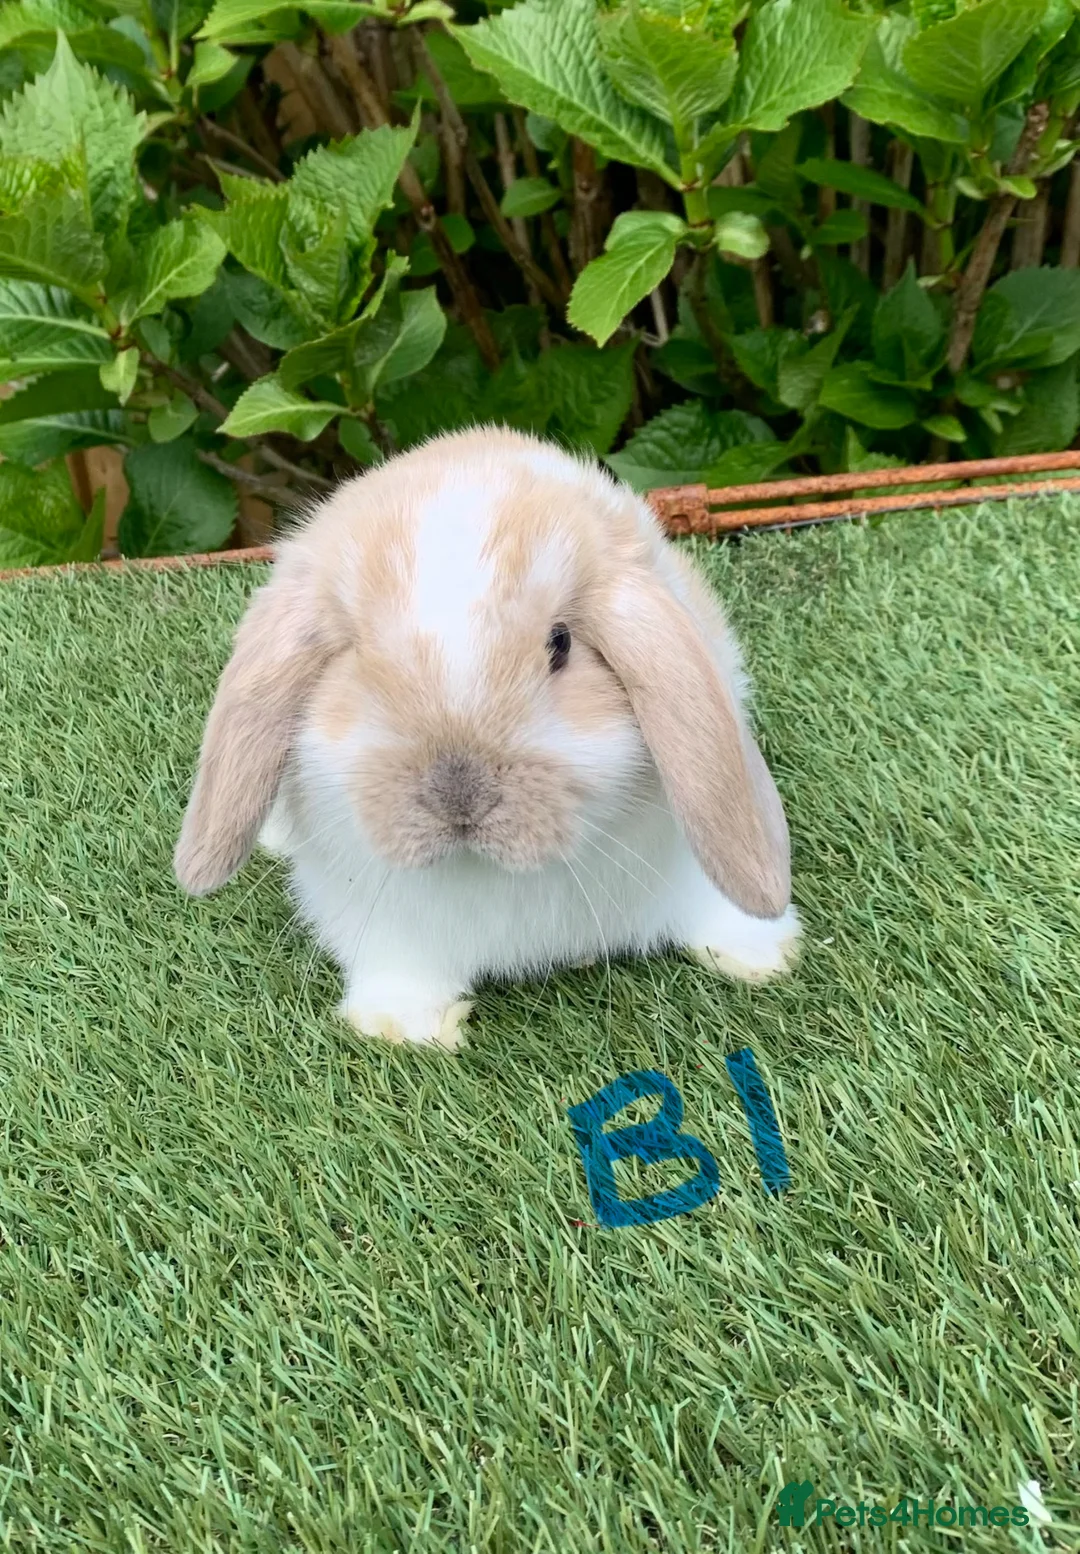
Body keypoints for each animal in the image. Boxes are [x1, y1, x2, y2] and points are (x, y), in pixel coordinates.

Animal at [174, 426, 800, 1051]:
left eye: (560, 644)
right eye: (356, 658)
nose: (459, 795)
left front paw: (763, 954)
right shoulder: (383, 926)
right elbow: (400, 969)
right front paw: (405, 1027)